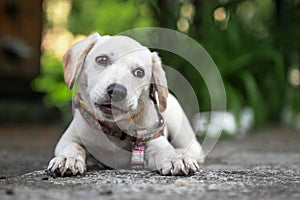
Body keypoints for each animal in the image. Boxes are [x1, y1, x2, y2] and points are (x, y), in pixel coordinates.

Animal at [47, 33, 206, 177]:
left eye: (139, 72)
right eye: (102, 60)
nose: (117, 91)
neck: (114, 129)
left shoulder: (152, 141)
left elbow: (165, 150)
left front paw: (175, 158)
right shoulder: (68, 138)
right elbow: (73, 146)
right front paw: (68, 158)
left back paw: (181, 152)